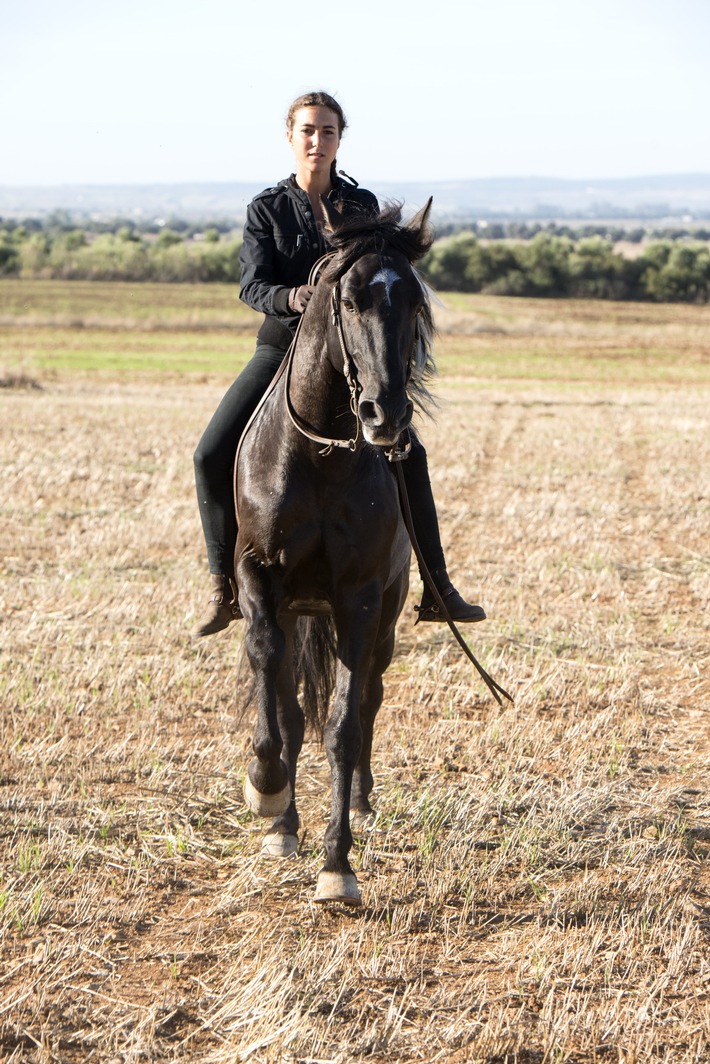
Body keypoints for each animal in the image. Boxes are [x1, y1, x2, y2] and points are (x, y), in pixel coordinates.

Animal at [236, 200, 438, 906]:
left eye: (414, 301)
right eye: (349, 301)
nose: (386, 415)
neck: (319, 453)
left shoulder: (359, 597)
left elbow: (346, 723)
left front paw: (337, 864)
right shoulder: (259, 579)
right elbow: (278, 700)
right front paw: (268, 795)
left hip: (384, 615)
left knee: (370, 696)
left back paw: (361, 802)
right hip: (298, 609)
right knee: (290, 701)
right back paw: (283, 820)